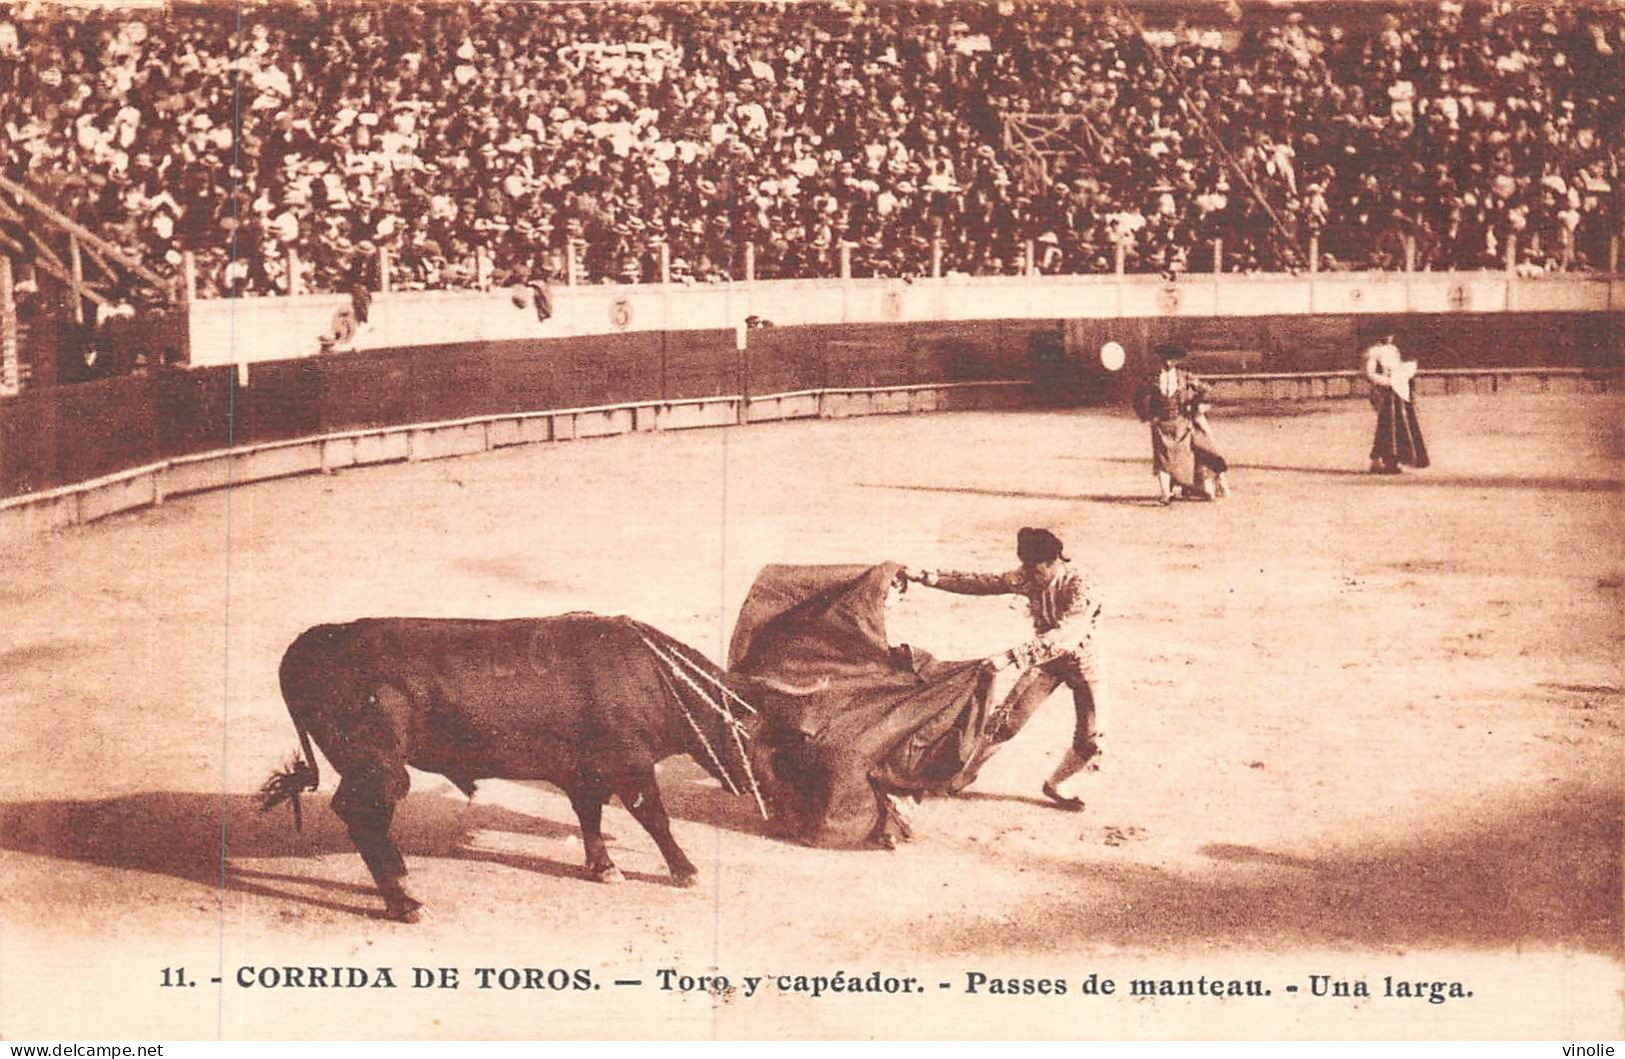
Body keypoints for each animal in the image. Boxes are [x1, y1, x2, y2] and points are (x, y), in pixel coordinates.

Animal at [261, 617, 767, 922]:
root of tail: (310, 644)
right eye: (750, 730)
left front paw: (603, 867)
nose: (754, 789)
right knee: (363, 817)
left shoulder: (584, 773)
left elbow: (590, 818)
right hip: (379, 769)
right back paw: (405, 902)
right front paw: (686, 871)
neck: (654, 679)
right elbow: (655, 819)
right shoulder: (632, 767)